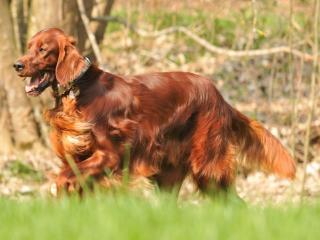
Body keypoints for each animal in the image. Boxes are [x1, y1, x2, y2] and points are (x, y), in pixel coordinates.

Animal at [14, 29, 296, 196]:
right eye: (29, 47)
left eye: (43, 49)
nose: (17, 64)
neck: (79, 90)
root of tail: (220, 97)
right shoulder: (75, 158)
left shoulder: (109, 157)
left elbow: (63, 178)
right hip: (168, 176)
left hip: (208, 167)